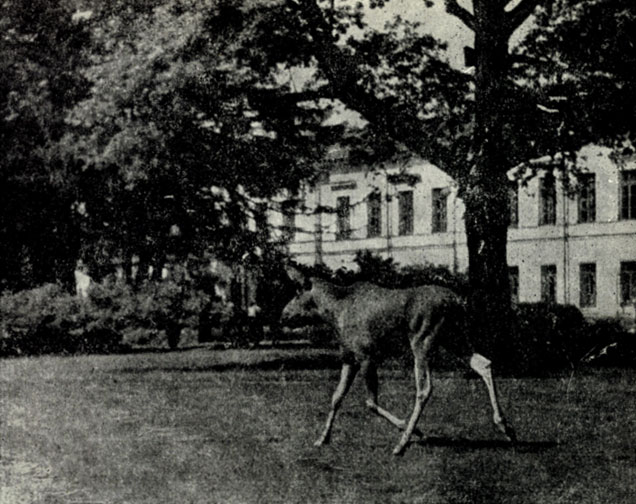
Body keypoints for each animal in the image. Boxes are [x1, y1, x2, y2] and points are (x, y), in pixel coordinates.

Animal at [284, 268, 516, 456]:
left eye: (297, 292)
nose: (283, 314)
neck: (334, 313)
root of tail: (458, 302)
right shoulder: (348, 357)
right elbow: (336, 397)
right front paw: (321, 439)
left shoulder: (367, 355)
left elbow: (370, 402)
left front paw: (413, 430)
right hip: (454, 337)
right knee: (483, 363)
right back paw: (505, 427)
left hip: (423, 339)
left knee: (424, 388)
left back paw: (402, 443)